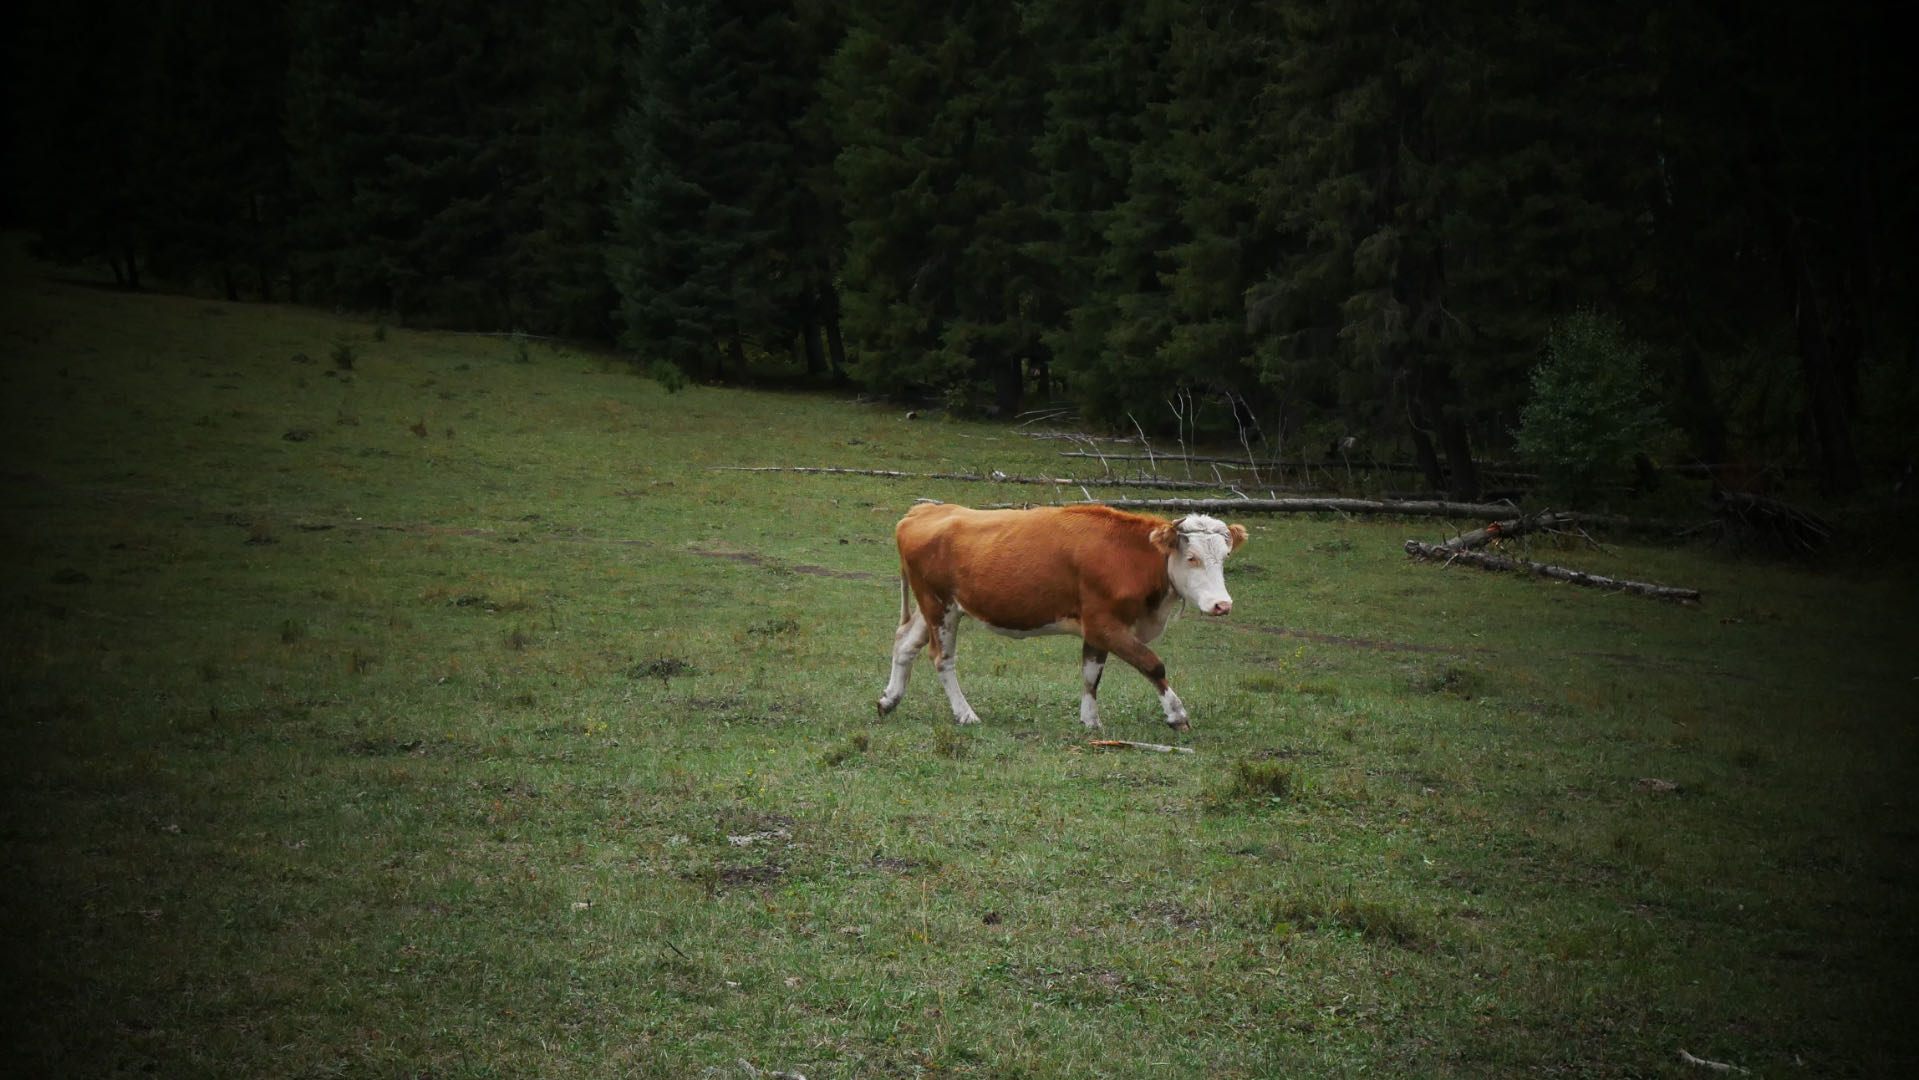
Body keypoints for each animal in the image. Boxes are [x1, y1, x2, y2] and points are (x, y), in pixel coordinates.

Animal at [876, 503, 1247, 732]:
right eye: (1191, 557)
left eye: (1225, 557)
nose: (1222, 605)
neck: (1130, 556)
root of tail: (924, 510)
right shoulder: (1104, 623)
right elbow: (1152, 664)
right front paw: (1177, 715)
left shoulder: (1096, 630)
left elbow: (1091, 674)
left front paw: (1090, 721)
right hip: (940, 605)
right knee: (942, 658)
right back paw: (965, 714)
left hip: (933, 606)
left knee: (905, 644)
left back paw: (889, 700)